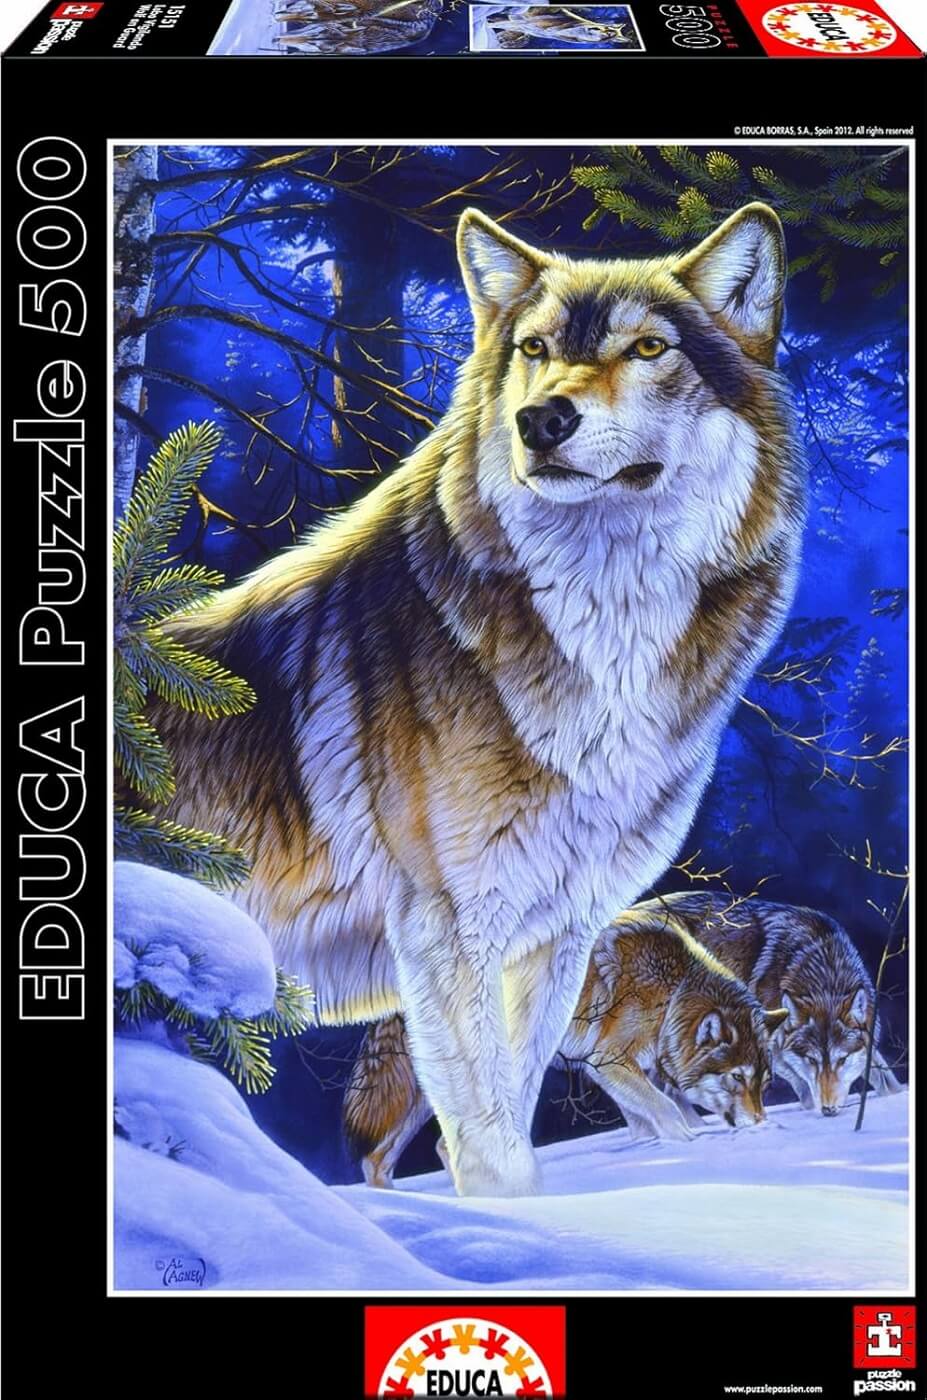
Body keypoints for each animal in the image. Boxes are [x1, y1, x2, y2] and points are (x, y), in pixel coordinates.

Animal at [345, 903, 787, 1187]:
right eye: (736, 1078)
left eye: (764, 1083)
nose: (761, 1123)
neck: (672, 992)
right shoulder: (610, 1062)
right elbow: (668, 1113)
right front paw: (690, 1148)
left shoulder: (623, 1073)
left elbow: (655, 1118)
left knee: (378, 1160)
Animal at [644, 892, 903, 1115]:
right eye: (812, 1060)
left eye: (842, 1060)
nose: (828, 1110)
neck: (825, 976)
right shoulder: (772, 1049)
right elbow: (803, 1087)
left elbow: (886, 1079)